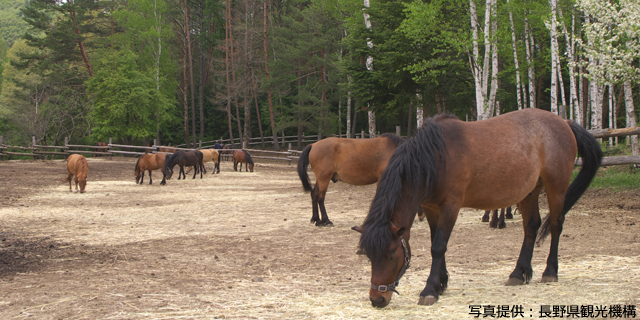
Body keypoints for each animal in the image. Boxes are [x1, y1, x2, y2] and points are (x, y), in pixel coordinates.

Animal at [352, 109, 604, 308]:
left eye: (391, 254)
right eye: (369, 257)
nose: (377, 299)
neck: (436, 158)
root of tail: (565, 122)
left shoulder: (451, 206)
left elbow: (438, 246)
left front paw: (430, 290)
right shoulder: (432, 208)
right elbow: (436, 242)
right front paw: (441, 283)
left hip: (556, 187)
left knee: (555, 225)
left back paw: (550, 272)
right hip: (530, 192)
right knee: (531, 227)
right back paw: (519, 273)